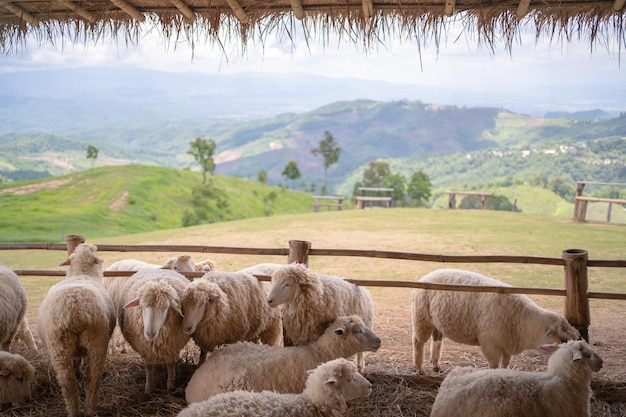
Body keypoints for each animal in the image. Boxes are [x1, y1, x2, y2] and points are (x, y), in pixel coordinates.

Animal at [35, 244, 116, 416]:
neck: (81, 272)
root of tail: (76, 310)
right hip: (96, 342)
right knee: (92, 379)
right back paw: (90, 410)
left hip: (60, 346)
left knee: (68, 383)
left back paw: (75, 410)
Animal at [410, 270, 580, 374]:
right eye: (563, 340)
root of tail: (424, 278)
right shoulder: (490, 344)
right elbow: (493, 365)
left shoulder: (507, 344)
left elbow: (505, 363)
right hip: (421, 318)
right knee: (418, 342)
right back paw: (419, 368)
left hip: (436, 323)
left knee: (437, 340)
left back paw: (435, 365)